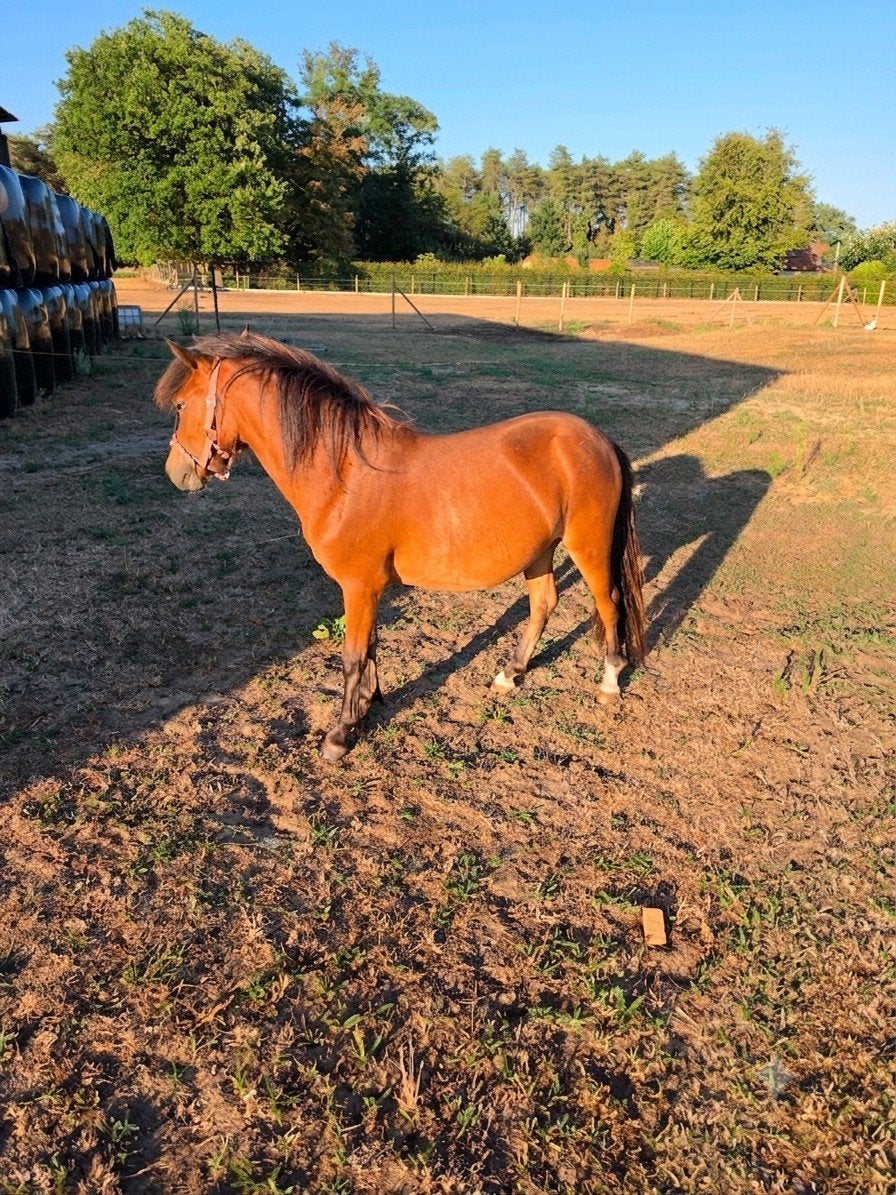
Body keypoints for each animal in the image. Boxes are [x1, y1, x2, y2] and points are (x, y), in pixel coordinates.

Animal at [155, 332, 646, 761]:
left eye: (180, 405)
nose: (176, 474)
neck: (344, 472)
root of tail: (598, 439)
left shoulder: (358, 587)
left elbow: (353, 656)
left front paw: (340, 734)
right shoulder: (368, 589)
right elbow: (370, 647)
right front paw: (368, 706)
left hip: (588, 547)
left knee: (609, 603)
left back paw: (609, 681)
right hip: (540, 551)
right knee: (543, 603)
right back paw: (511, 673)